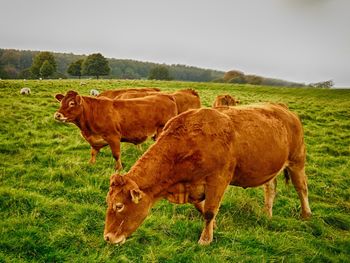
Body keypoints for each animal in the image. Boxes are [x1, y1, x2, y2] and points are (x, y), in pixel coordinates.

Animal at [104, 104, 312, 246]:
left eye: (119, 206)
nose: (107, 237)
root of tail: (284, 109)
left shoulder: (218, 180)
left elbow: (210, 211)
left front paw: (205, 239)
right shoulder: (193, 187)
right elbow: (202, 209)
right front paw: (214, 228)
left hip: (297, 160)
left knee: (302, 189)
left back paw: (306, 214)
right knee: (270, 188)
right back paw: (267, 214)